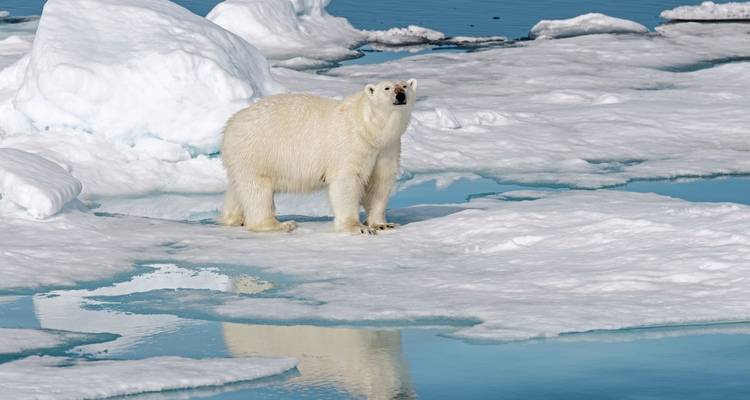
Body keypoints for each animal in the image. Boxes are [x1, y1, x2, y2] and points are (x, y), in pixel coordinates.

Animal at [220, 79, 417, 234]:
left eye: (405, 85)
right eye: (387, 88)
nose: (400, 95)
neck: (370, 128)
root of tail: (230, 124)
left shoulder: (387, 148)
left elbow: (379, 183)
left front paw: (383, 224)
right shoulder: (351, 144)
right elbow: (347, 181)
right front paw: (356, 227)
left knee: (238, 188)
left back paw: (233, 219)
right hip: (257, 150)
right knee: (257, 189)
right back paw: (280, 225)